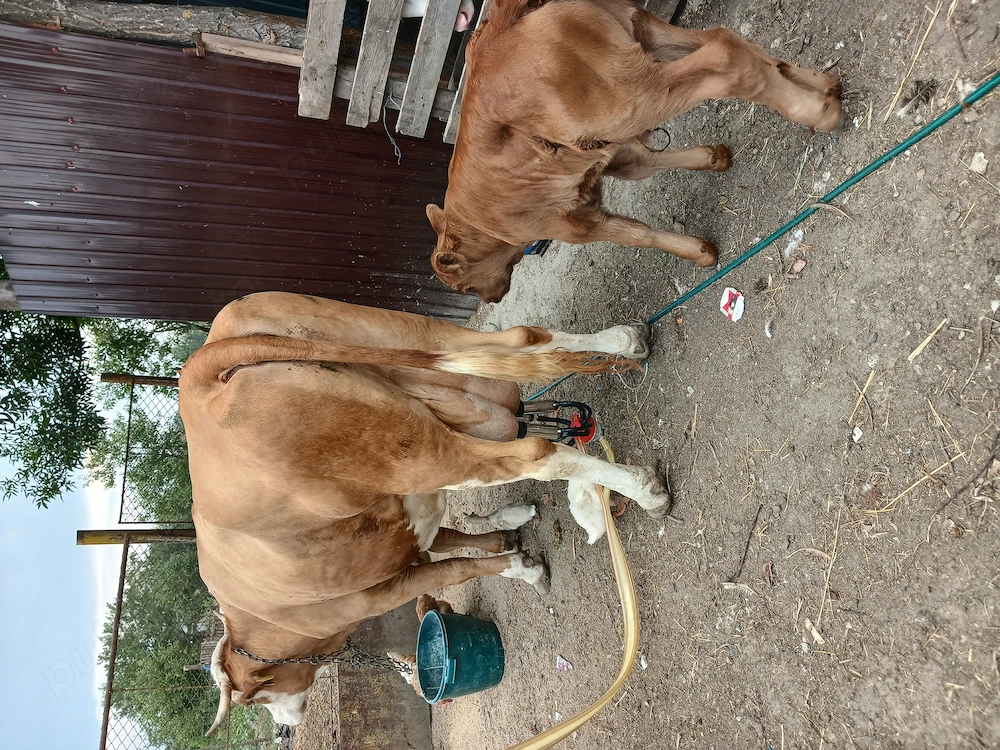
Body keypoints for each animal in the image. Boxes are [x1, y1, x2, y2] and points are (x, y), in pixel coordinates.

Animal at [178, 292, 670, 731]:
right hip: (414, 341)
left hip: (419, 450)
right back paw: (629, 339)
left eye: (256, 698)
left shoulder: (380, 594)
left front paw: (524, 568)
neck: (264, 616)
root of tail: (201, 377)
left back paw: (645, 489)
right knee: (523, 337)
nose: (285, 726)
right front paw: (512, 537)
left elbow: (457, 569)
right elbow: (463, 542)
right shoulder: (414, 528)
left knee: (533, 452)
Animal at [427, 0, 843, 303]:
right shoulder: (608, 156)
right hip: (643, 35)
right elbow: (648, 163)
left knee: (724, 55)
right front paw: (713, 158)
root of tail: (500, 23)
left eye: (464, 287)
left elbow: (638, 234)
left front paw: (701, 253)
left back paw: (818, 112)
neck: (480, 221)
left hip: (626, 98)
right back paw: (824, 86)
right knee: (723, 39)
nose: (491, 299)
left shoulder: (574, 226)